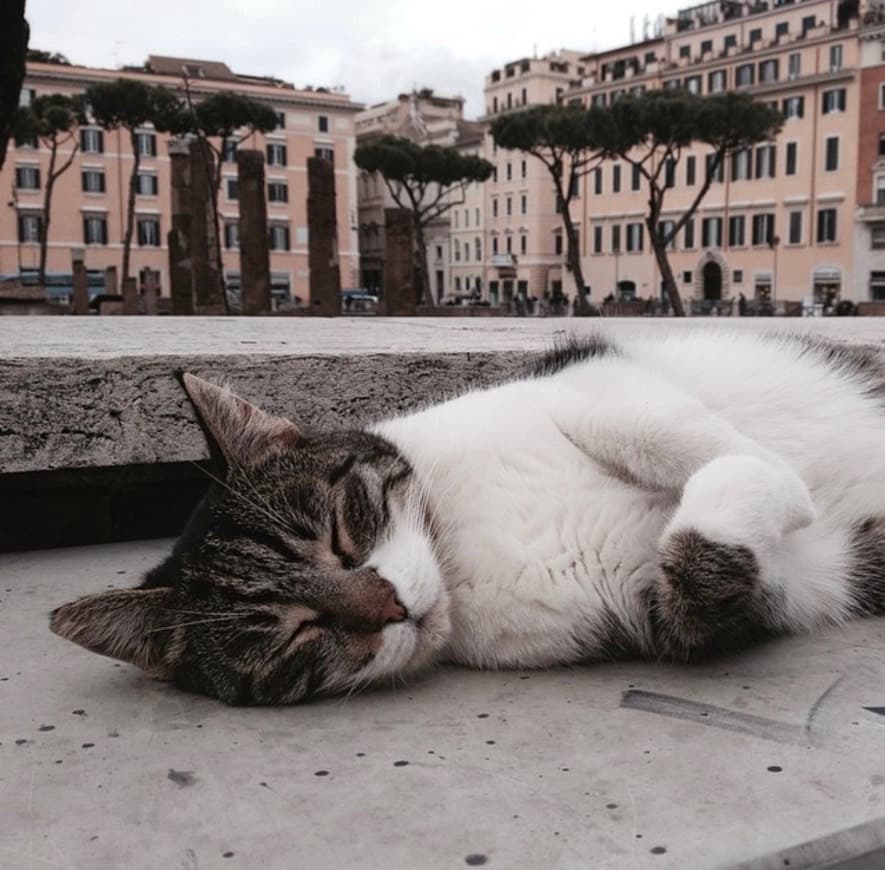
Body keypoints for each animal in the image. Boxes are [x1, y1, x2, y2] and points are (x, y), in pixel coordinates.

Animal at [51, 330, 884, 704]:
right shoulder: (681, 608)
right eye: (294, 633)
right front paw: (772, 498)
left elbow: (656, 429)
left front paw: (778, 474)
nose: (390, 608)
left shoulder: (588, 380)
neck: (459, 549)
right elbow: (705, 571)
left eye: (341, 533)